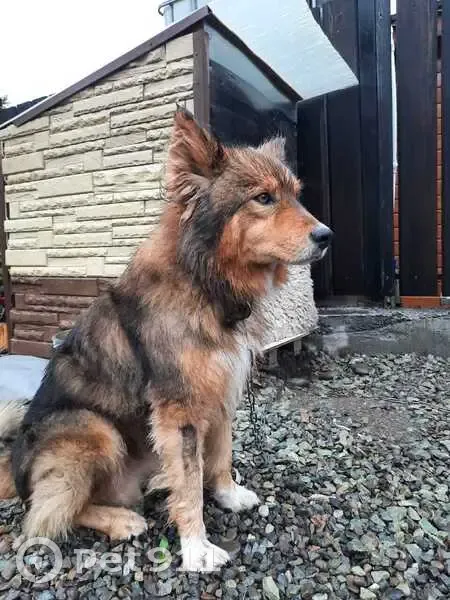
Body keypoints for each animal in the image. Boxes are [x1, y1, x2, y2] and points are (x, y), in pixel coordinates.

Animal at [0, 109, 332, 571]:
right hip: (94, 428)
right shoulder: (181, 408)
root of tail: (12, 463)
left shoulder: (221, 391)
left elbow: (220, 454)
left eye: (295, 196)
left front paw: (227, 494)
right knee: (47, 512)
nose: (327, 236)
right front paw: (197, 547)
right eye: (263, 198)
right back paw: (120, 519)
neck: (205, 283)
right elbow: (190, 485)